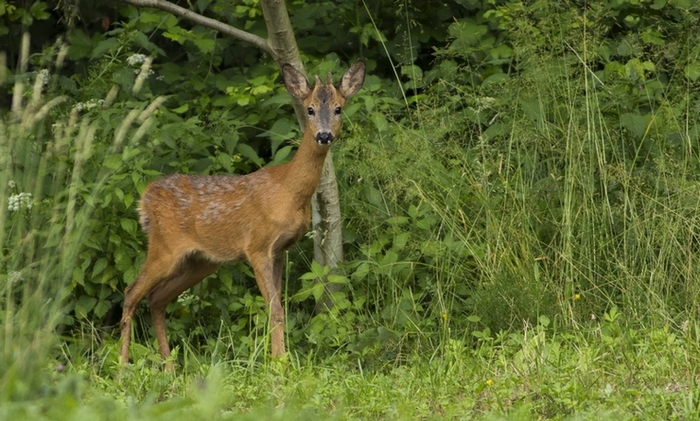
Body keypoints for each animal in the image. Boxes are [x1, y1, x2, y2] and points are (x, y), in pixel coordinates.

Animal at [119, 60, 366, 368]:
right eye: (309, 109)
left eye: (338, 108)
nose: (324, 136)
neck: (288, 192)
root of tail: (145, 197)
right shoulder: (257, 246)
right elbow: (274, 309)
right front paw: (279, 364)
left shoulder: (280, 250)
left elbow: (279, 307)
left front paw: (278, 359)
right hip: (164, 247)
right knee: (131, 293)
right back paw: (122, 367)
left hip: (200, 261)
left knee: (156, 298)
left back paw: (169, 368)